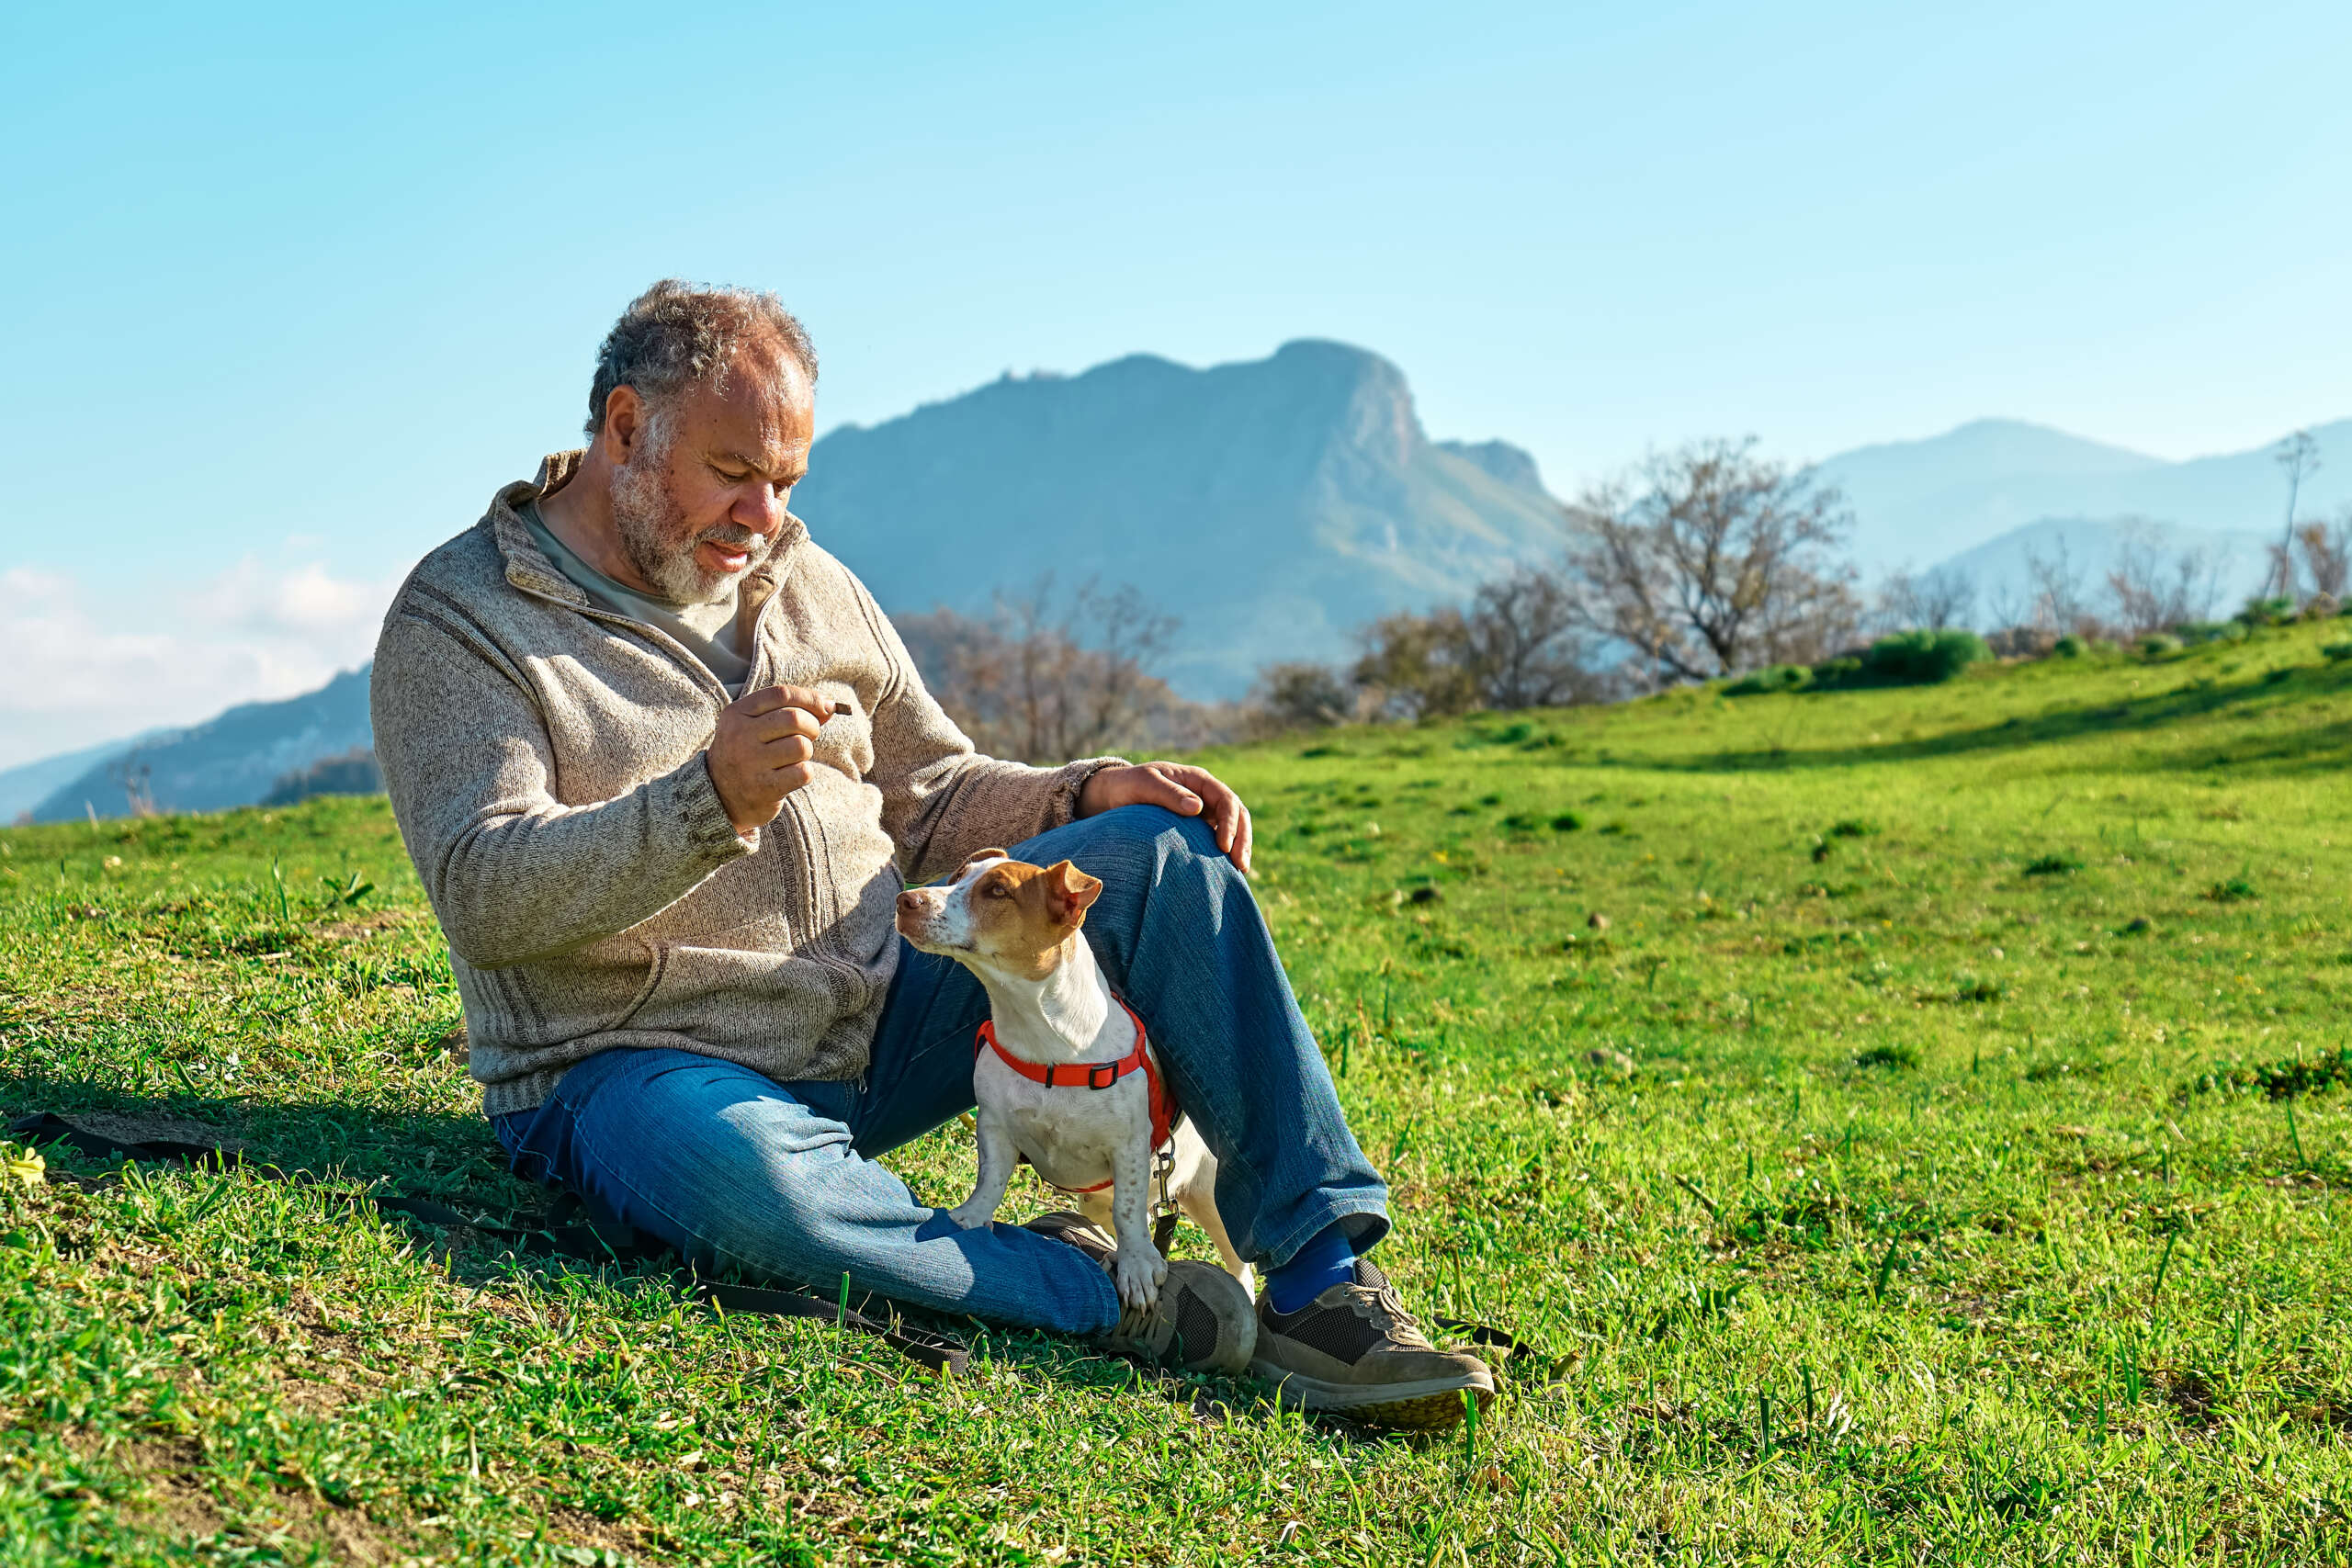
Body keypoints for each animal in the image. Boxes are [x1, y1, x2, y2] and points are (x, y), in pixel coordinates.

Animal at [893, 846, 1250, 1316]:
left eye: (997, 891)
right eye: (957, 877)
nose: (905, 901)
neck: (1044, 1037)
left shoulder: (1129, 1147)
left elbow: (1128, 1210)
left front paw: (1138, 1266)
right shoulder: (994, 1126)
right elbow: (990, 1180)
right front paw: (970, 1219)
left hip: (1210, 1198)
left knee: (1235, 1260)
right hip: (1095, 1200)